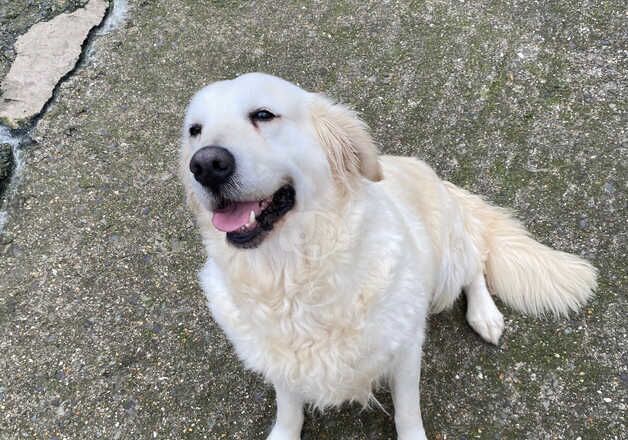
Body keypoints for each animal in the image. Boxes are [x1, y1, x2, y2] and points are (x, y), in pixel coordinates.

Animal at [179, 73, 596, 440]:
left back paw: (485, 315)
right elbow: (289, 408)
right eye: (194, 130)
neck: (291, 276)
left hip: (448, 261)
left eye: (263, 114)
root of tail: (441, 182)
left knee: (475, 261)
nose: (205, 165)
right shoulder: (281, 362)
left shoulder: (406, 349)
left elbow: (407, 413)